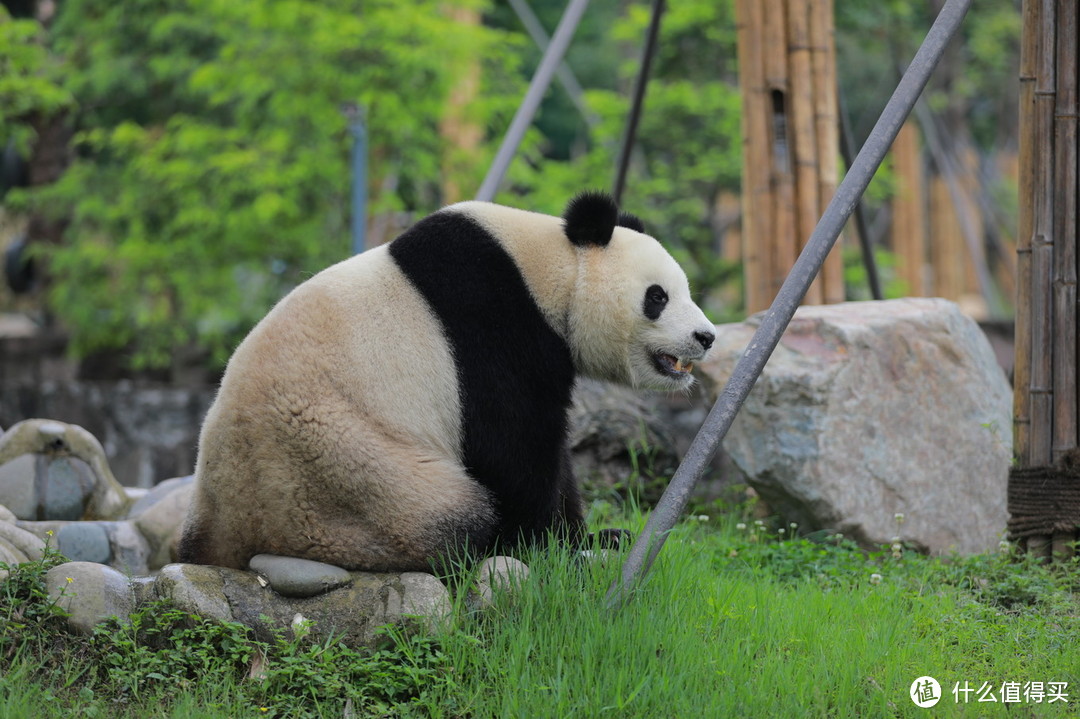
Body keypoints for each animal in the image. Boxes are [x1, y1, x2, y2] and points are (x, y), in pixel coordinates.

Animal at [178, 190, 717, 570]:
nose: (707, 336)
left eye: (686, 290)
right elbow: (514, 445)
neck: (550, 269)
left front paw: (600, 536)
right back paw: (485, 540)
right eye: (658, 297)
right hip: (344, 480)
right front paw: (553, 546)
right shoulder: (490, 326)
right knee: (449, 516)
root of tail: (224, 537)